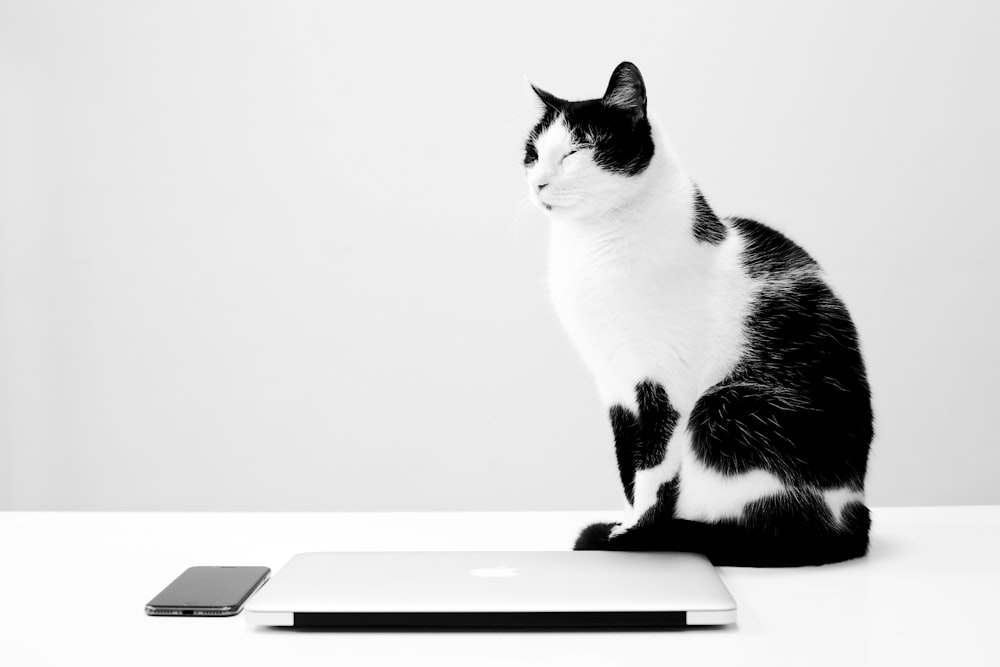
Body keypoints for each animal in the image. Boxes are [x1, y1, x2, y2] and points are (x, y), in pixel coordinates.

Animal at [528, 62, 872, 568]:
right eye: (532, 154)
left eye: (576, 150)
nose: (538, 183)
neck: (594, 244)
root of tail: (854, 517)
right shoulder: (614, 387)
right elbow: (628, 466)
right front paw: (627, 523)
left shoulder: (665, 383)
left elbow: (653, 468)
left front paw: (635, 534)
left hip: (725, 409)